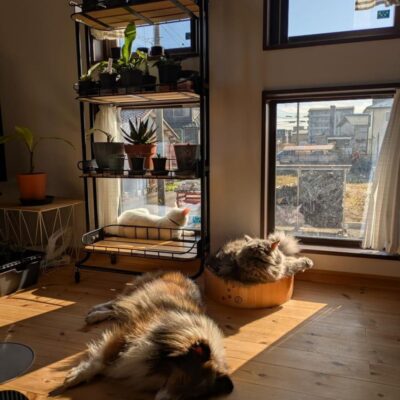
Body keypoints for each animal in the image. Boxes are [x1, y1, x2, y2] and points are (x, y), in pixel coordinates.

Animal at [52, 271, 233, 400]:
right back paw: (95, 312)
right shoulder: (129, 333)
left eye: (190, 397)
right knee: (115, 302)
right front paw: (75, 377)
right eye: (182, 379)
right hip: (135, 291)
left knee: (116, 309)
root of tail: (182, 274)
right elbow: (100, 361)